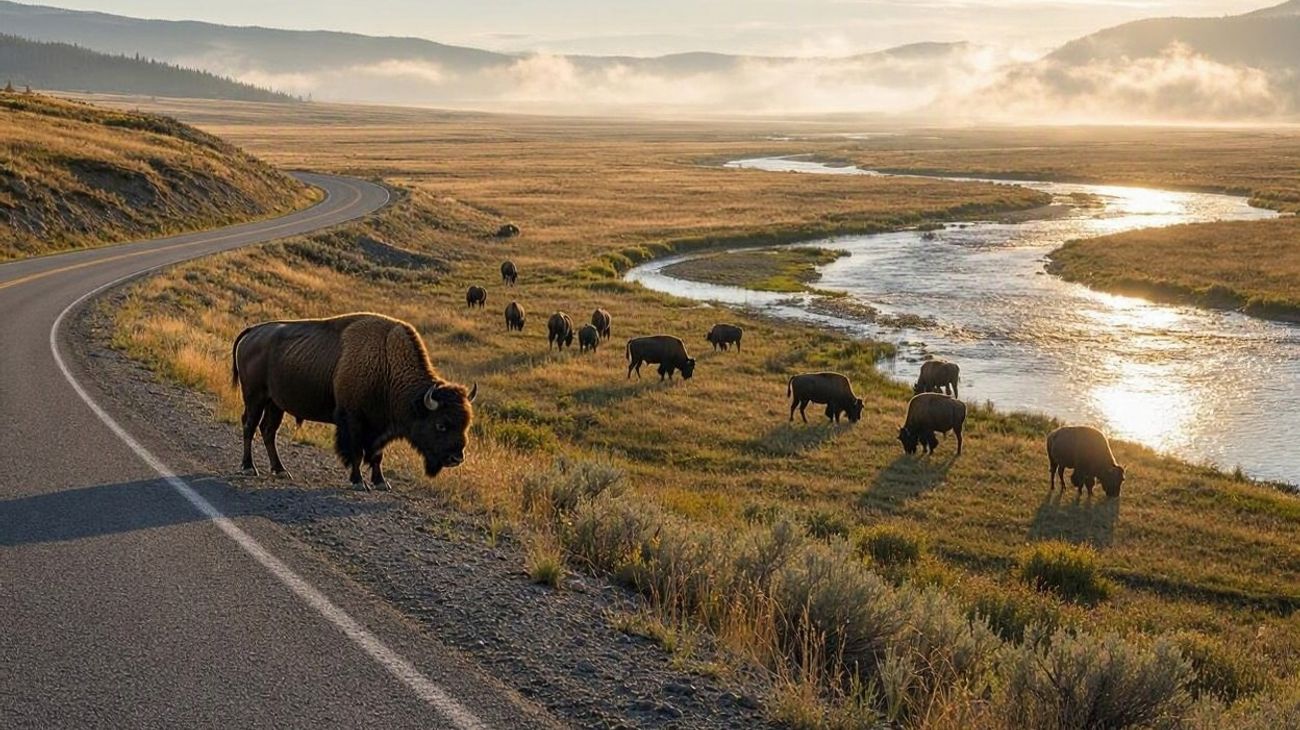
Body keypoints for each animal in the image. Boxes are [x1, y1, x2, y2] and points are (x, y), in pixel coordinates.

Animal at [232, 313, 477, 491]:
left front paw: (381, 483)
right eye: (441, 424)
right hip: (255, 397)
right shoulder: (353, 421)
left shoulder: (380, 429)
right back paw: (249, 467)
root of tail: (253, 331)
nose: (456, 458)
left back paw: (280, 469)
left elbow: (377, 456)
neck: (387, 366)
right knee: (249, 426)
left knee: (268, 431)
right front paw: (359, 481)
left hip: (275, 404)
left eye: (465, 424)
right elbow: (356, 453)